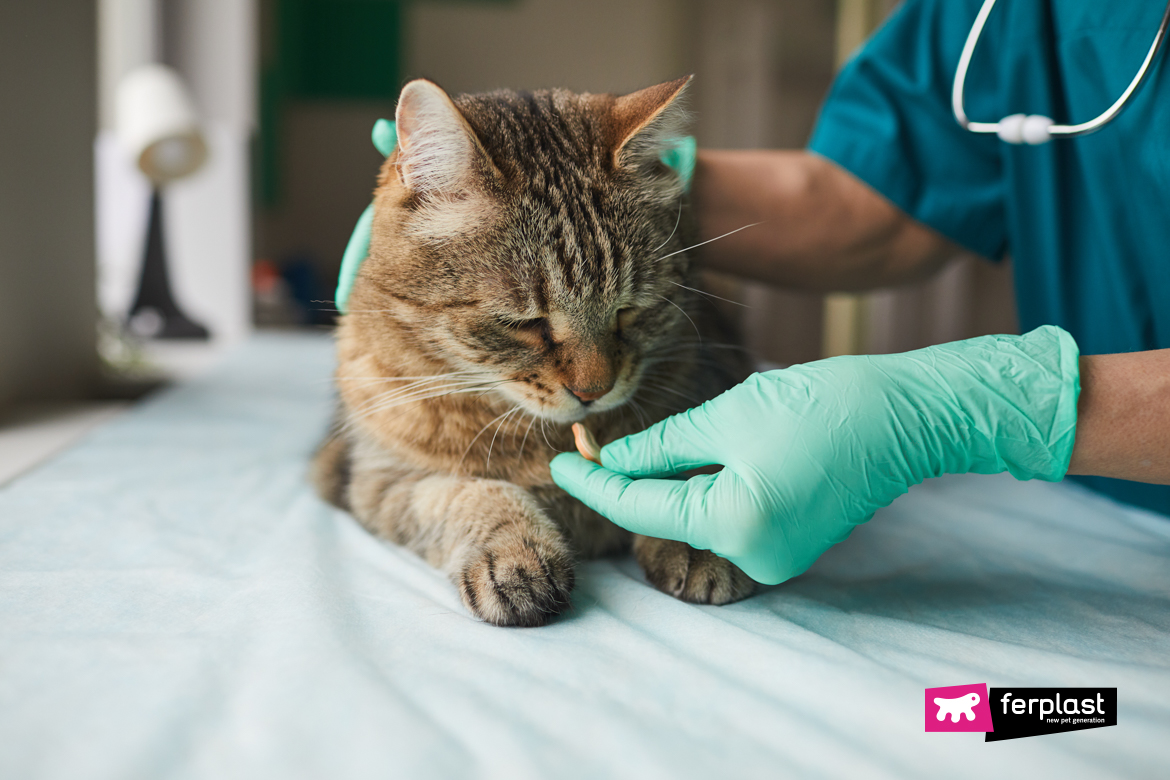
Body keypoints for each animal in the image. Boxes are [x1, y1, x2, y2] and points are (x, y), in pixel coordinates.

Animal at [313, 76, 758, 626]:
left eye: (629, 311)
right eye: (526, 324)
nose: (594, 390)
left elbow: (699, 461)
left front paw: (698, 529)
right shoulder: (374, 477)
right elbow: (469, 492)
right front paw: (515, 552)